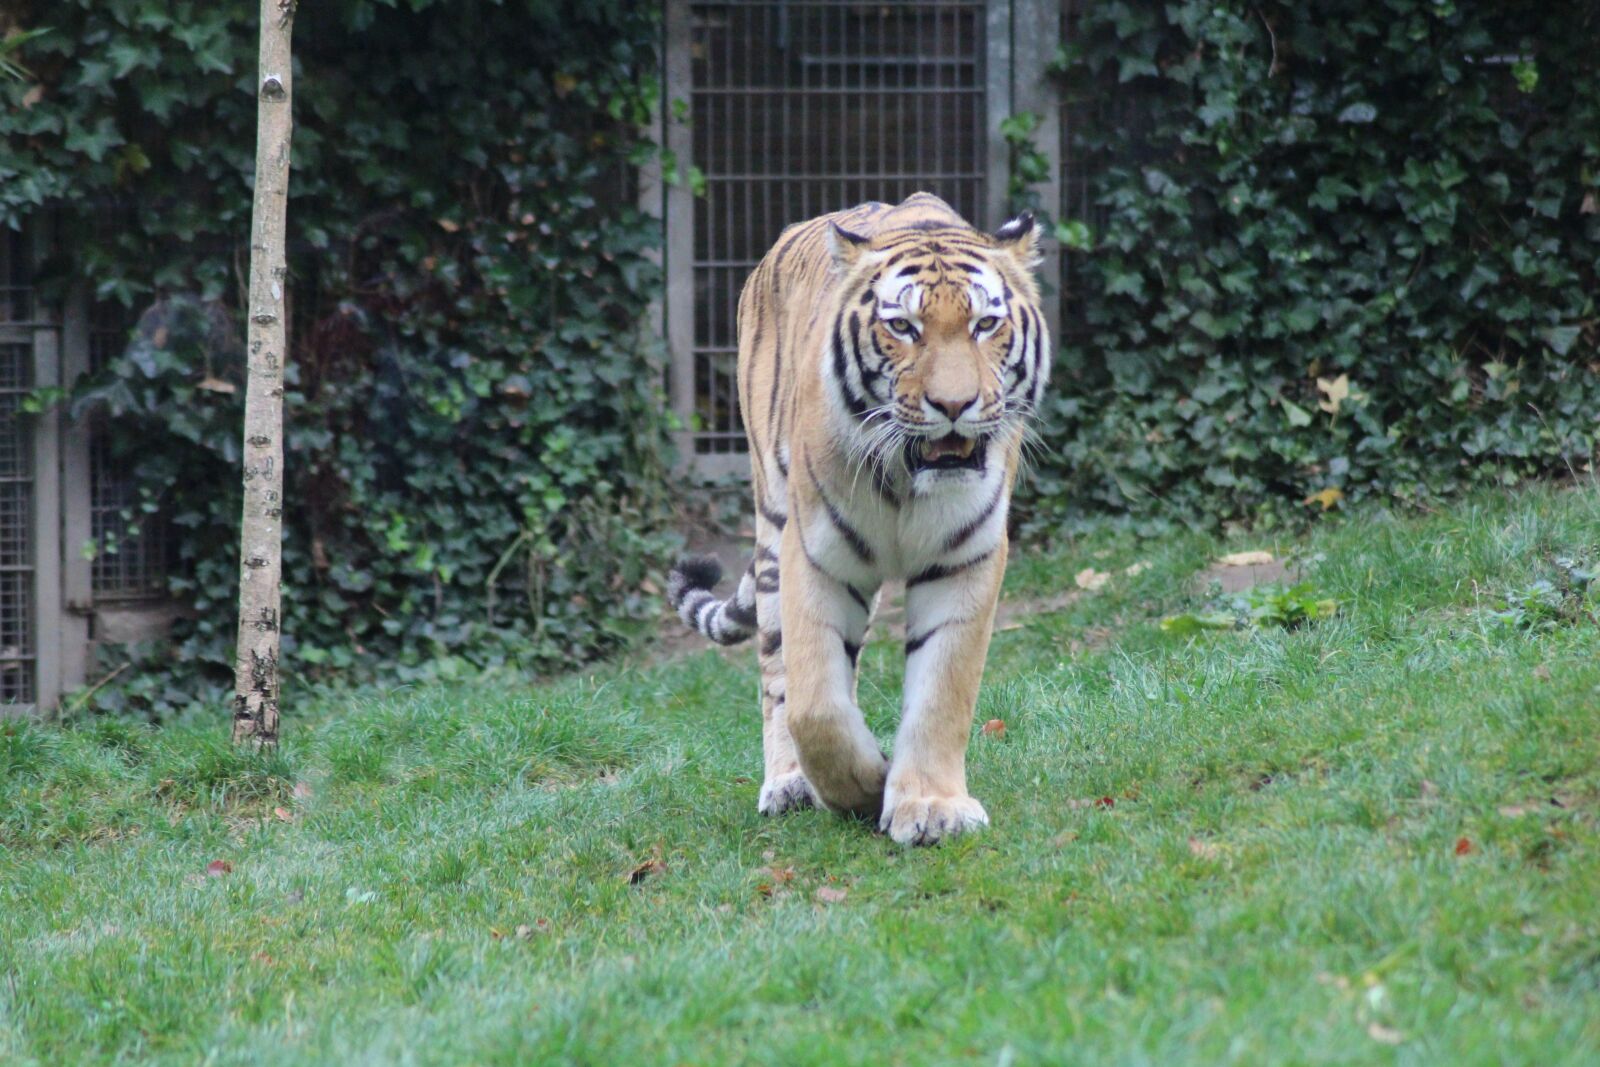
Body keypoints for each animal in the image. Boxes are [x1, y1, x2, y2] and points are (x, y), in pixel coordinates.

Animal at [667, 192, 1049, 846]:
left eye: (985, 324)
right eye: (903, 327)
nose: (954, 405)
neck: (905, 483)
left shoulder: (965, 557)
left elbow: (942, 690)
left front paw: (931, 806)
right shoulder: (815, 554)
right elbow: (814, 704)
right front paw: (866, 784)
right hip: (772, 526)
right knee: (777, 674)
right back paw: (789, 784)